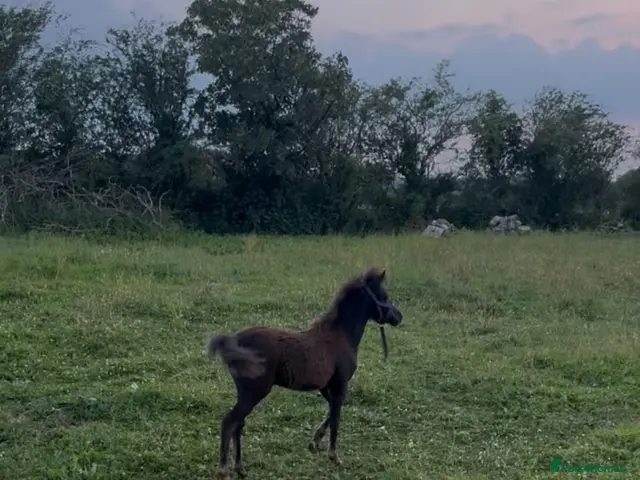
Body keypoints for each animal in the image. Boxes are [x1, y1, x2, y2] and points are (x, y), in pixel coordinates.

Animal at [206, 267, 403, 479]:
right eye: (384, 295)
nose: (398, 317)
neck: (340, 335)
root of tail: (234, 340)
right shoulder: (341, 383)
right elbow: (336, 415)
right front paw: (333, 456)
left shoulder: (326, 386)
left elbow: (332, 410)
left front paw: (314, 442)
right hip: (255, 391)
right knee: (230, 422)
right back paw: (224, 470)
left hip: (246, 392)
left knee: (238, 423)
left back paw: (239, 468)